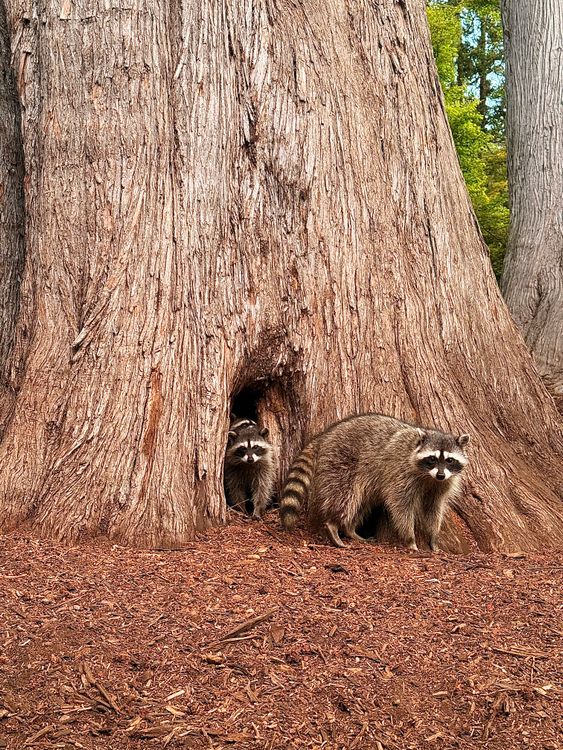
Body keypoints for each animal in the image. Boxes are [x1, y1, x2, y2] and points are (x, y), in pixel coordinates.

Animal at [279, 413, 470, 551]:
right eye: (432, 459)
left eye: (449, 460)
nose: (440, 475)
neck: (429, 477)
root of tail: (325, 435)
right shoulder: (401, 474)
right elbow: (401, 505)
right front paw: (410, 538)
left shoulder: (442, 485)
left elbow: (433, 508)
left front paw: (433, 537)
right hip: (341, 462)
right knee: (343, 496)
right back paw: (333, 524)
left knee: (362, 502)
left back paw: (350, 528)